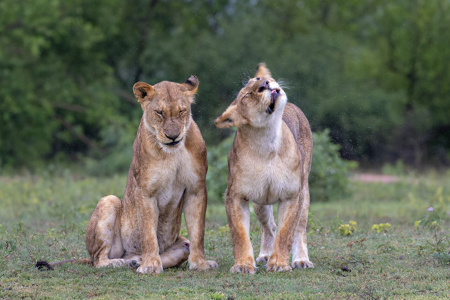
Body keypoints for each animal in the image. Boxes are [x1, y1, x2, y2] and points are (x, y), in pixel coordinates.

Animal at [36, 75, 216, 274]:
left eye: (182, 111)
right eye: (159, 112)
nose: (173, 136)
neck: (172, 153)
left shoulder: (195, 189)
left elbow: (198, 232)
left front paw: (200, 264)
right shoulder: (145, 191)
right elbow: (148, 233)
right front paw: (150, 265)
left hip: (182, 242)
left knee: (183, 246)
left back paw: (135, 262)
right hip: (109, 201)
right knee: (98, 259)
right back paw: (120, 262)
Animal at [214, 63, 312, 274]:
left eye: (257, 80)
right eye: (246, 95)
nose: (265, 84)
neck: (267, 141)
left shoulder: (292, 195)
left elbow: (286, 232)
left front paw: (279, 264)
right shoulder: (235, 196)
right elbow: (240, 234)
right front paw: (243, 265)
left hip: (304, 192)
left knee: (299, 228)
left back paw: (301, 260)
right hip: (260, 203)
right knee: (269, 227)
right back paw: (266, 255)